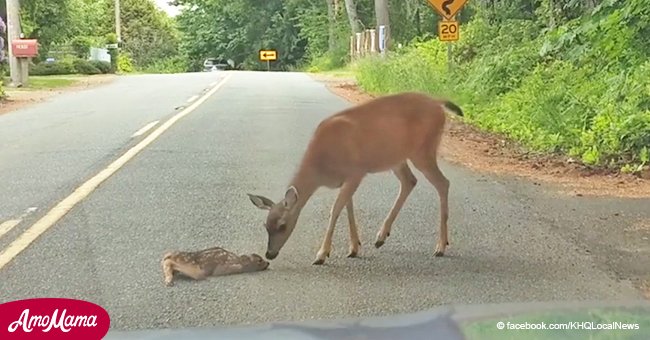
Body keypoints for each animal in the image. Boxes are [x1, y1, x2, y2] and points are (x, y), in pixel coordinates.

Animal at [247, 91, 460, 264]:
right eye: (266, 225)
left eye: (282, 226)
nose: (269, 254)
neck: (320, 167)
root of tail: (438, 103)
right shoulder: (346, 179)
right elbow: (348, 208)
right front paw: (354, 248)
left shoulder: (356, 172)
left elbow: (335, 210)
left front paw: (321, 254)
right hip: (396, 158)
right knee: (410, 181)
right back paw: (381, 237)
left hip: (423, 151)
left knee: (443, 183)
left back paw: (440, 247)